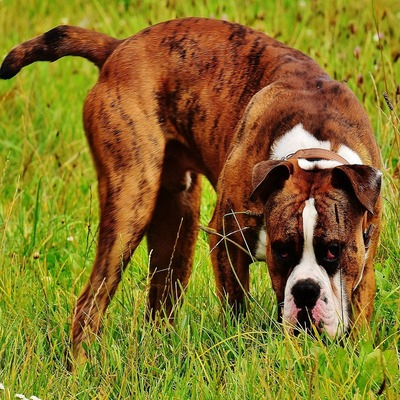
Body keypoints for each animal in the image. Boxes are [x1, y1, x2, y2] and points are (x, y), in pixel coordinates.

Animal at [0, 17, 382, 360]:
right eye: (281, 250)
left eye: (333, 250)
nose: (304, 291)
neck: (312, 152)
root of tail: (118, 47)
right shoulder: (227, 240)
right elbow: (235, 308)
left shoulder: (365, 261)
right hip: (130, 206)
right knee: (89, 305)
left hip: (176, 225)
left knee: (160, 305)